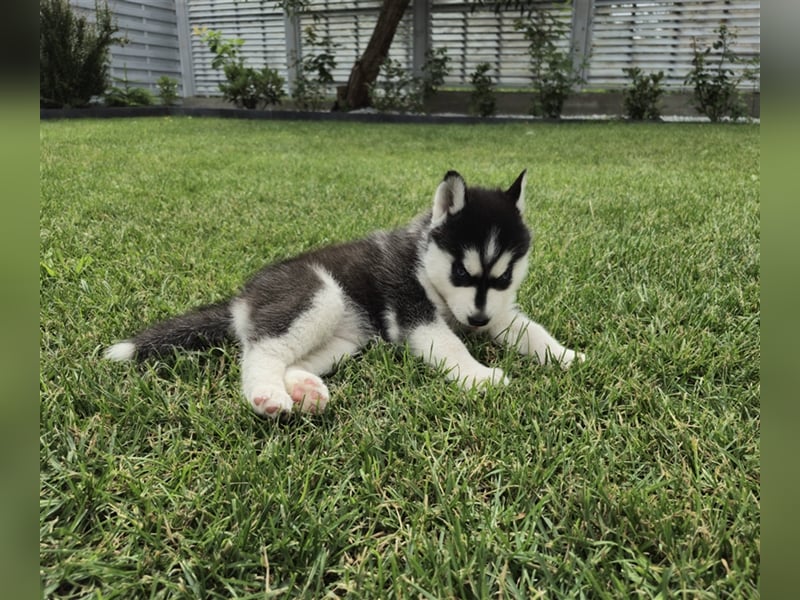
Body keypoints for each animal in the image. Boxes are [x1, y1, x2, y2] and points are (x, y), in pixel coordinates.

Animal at [104, 170, 580, 418]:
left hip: (347, 339)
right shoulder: (413, 313)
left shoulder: (498, 311)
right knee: (261, 352)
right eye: (462, 271)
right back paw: (268, 396)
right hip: (319, 296)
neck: (425, 262)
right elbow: (450, 346)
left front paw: (565, 356)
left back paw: (304, 389)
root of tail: (242, 298)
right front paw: (479, 376)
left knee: (293, 358)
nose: (477, 321)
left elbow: (529, 330)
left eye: (504, 277)